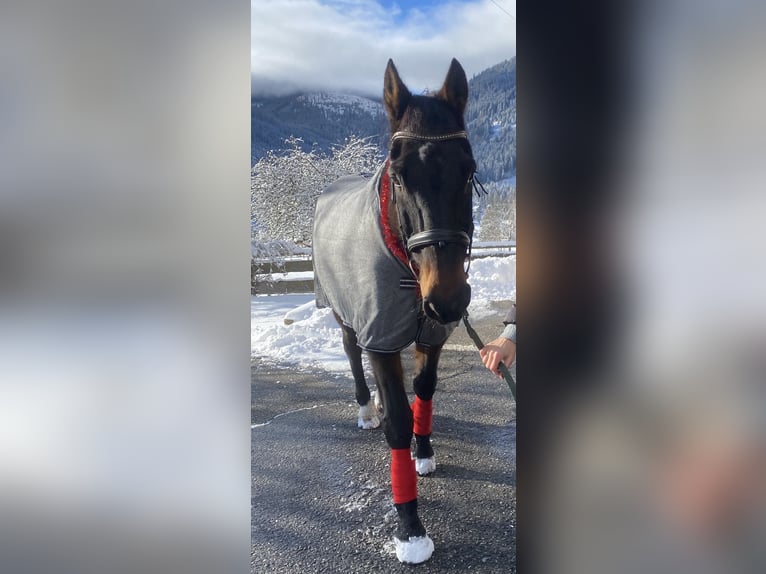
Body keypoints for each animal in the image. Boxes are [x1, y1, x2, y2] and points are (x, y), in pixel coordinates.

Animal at [312, 58, 476, 564]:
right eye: (399, 176)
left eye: (469, 171)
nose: (449, 299)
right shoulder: (381, 334)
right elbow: (399, 424)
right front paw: (410, 529)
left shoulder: (430, 333)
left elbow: (423, 389)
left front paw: (424, 451)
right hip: (347, 313)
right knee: (352, 352)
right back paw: (369, 409)